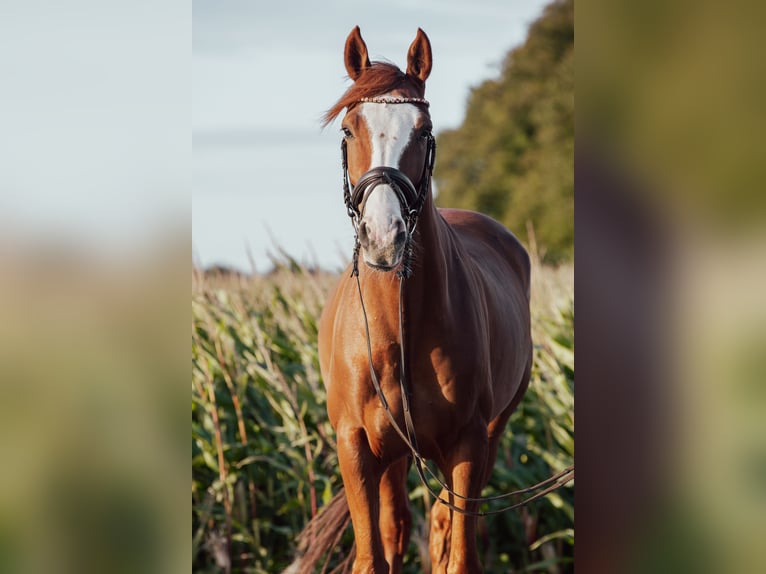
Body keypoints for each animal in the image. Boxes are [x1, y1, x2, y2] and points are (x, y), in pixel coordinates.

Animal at [296, 27, 536, 574]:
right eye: (349, 130)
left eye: (424, 132)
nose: (384, 237)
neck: (398, 328)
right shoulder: (357, 446)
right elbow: (374, 553)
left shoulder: (468, 445)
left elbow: (459, 550)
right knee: (399, 524)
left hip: (486, 436)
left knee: (444, 523)